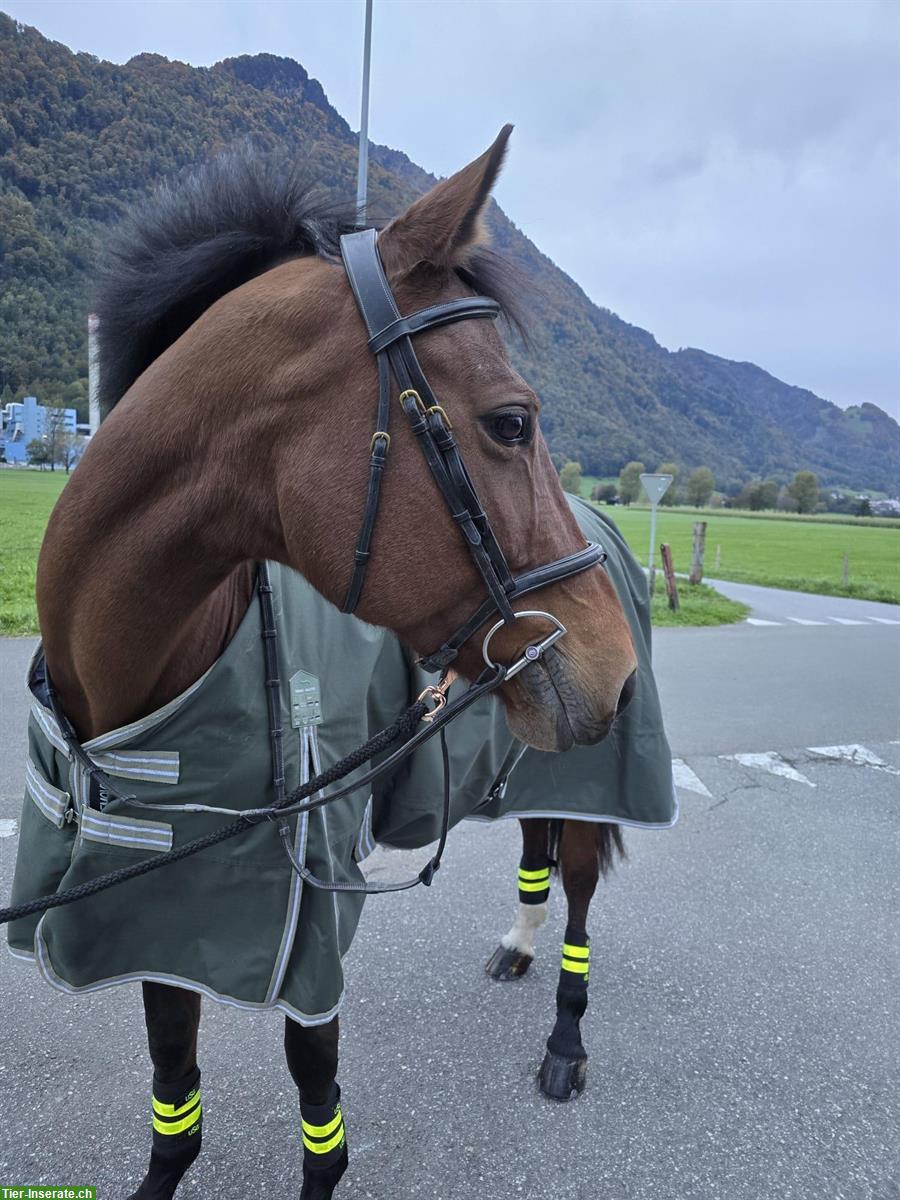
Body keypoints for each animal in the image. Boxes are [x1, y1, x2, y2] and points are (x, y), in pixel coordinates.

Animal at [30, 126, 633, 1195]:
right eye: (512, 422)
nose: (613, 662)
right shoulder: (155, 907)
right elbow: (172, 1067)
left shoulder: (304, 917)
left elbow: (316, 1084)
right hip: (533, 763)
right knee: (535, 849)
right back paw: (517, 948)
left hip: (589, 782)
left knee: (580, 894)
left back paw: (565, 1039)